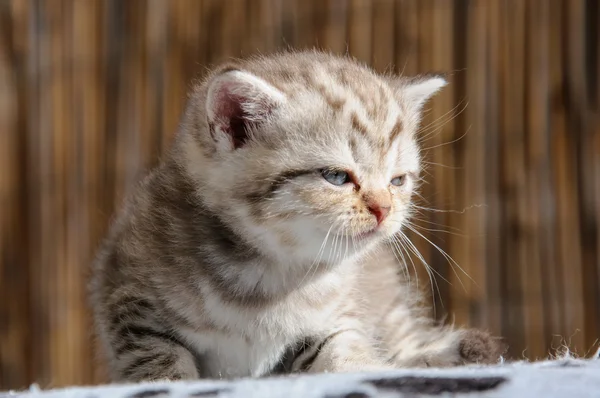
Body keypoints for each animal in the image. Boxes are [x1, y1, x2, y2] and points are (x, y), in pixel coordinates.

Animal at [89, 49, 504, 382]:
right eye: (337, 177)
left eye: (397, 181)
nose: (383, 208)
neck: (269, 276)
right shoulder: (129, 301)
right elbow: (160, 362)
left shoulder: (337, 317)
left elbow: (347, 352)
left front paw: (375, 370)